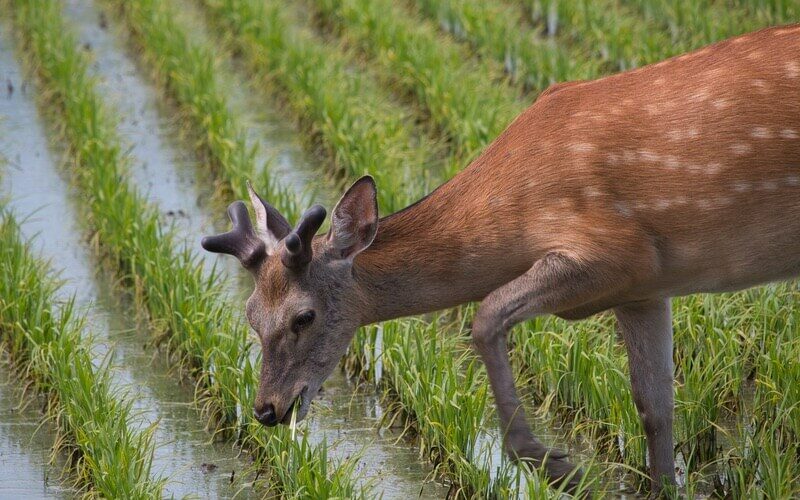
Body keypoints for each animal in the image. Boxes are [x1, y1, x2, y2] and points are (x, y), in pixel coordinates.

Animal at [205, 25, 800, 498]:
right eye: (250, 315)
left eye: (303, 316)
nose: (266, 410)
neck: (515, 211)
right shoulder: (645, 288)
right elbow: (656, 408)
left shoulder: (614, 250)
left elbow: (486, 314)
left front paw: (554, 463)